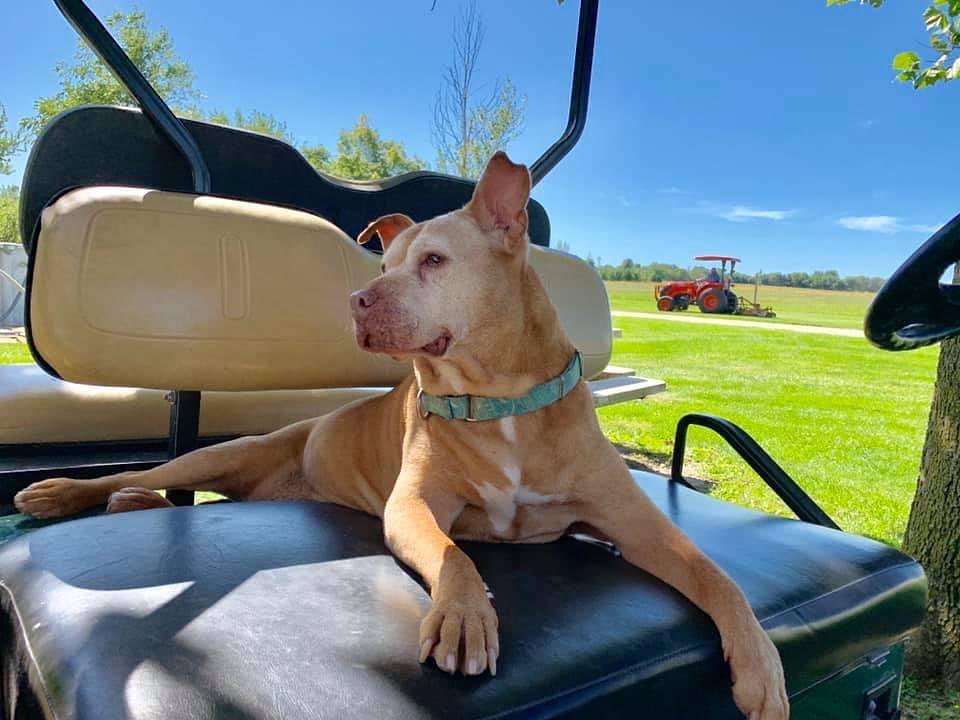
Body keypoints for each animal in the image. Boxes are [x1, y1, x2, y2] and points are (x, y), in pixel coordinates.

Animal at [15, 150, 788, 716]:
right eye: (381, 266)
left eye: (435, 262)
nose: (355, 300)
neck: (498, 402)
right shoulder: (414, 505)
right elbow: (456, 555)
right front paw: (465, 616)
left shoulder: (636, 524)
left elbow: (717, 577)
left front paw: (760, 664)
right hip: (221, 454)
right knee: (140, 475)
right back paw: (62, 494)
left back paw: (128, 507)